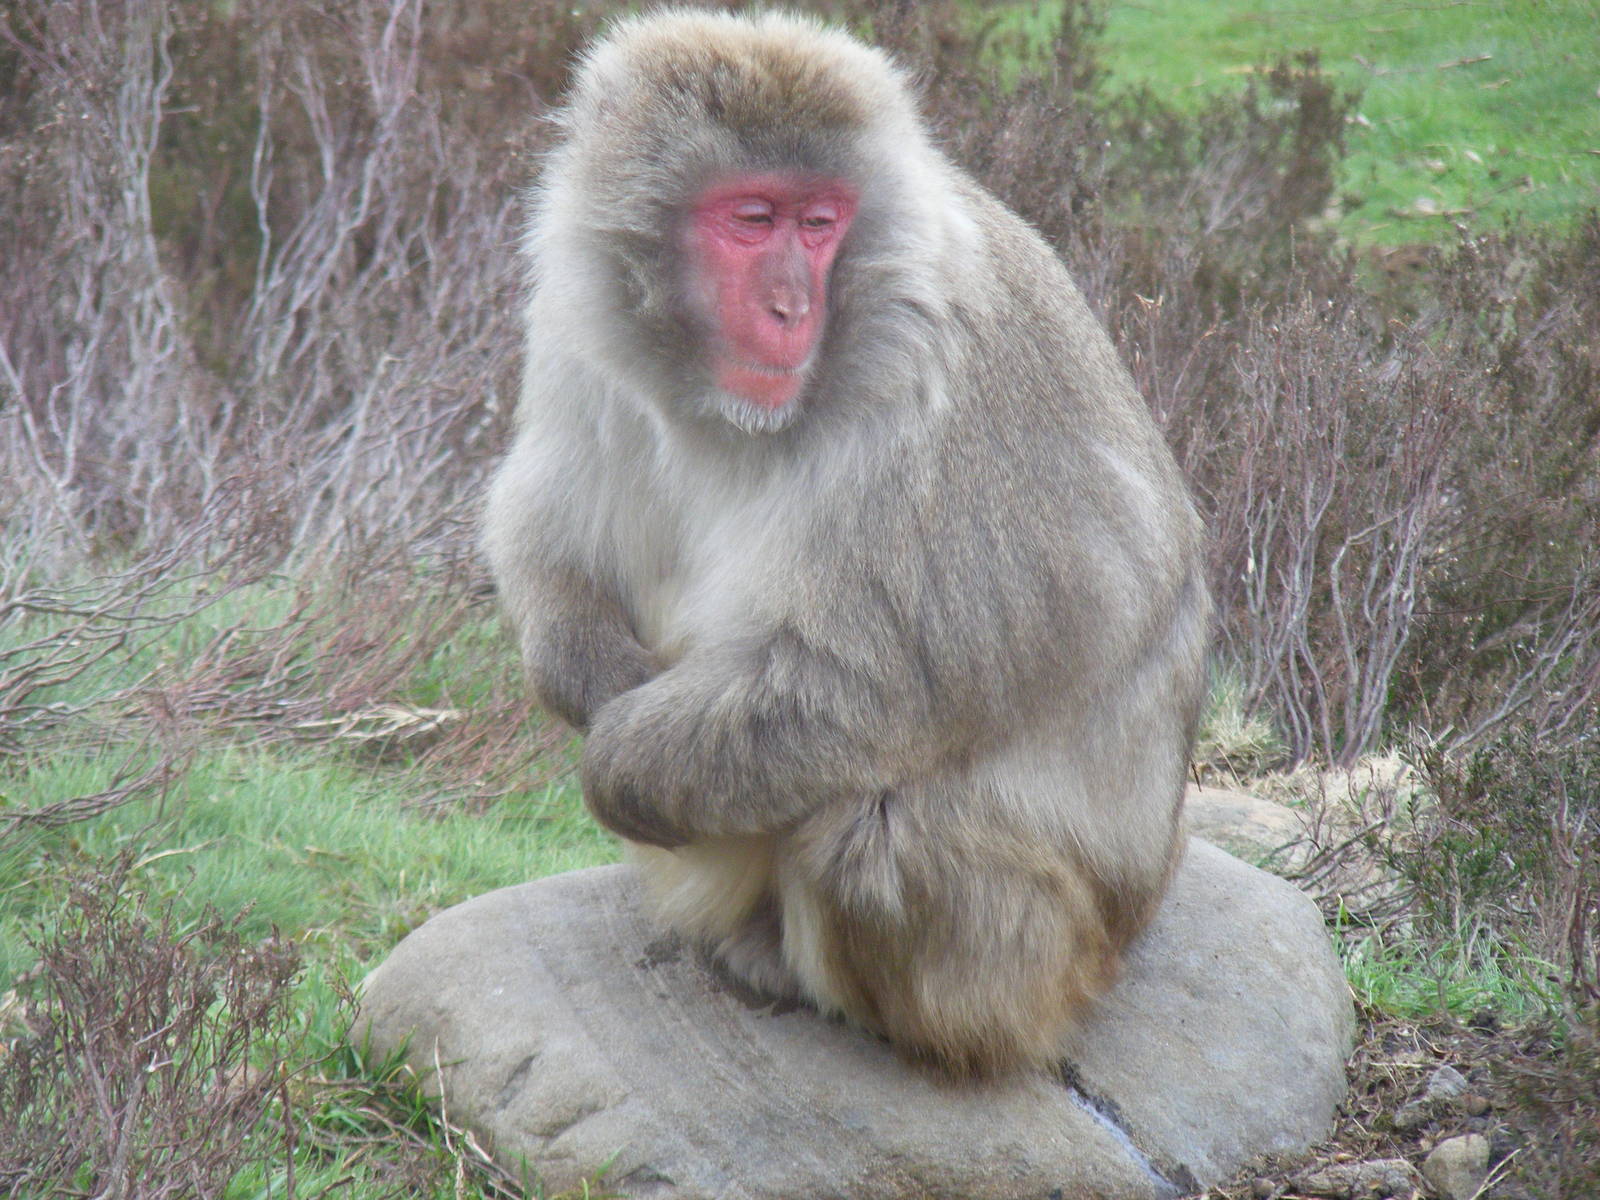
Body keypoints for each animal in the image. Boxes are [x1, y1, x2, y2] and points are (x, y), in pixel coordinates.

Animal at [482, 9, 1211, 1079]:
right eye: (753, 219)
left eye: (821, 224)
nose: (791, 308)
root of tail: (1137, 921)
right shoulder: (578, 319)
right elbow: (548, 522)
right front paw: (587, 673)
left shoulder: (934, 378)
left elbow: (881, 678)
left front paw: (619, 761)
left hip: (1045, 955)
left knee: (866, 839)